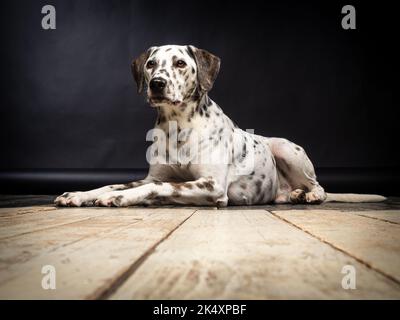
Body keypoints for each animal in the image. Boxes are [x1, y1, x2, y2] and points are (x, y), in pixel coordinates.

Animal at [54, 44, 386, 208]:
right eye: (150, 65)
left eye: (179, 63)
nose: (157, 84)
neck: (178, 127)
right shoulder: (153, 176)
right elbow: (117, 183)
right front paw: (80, 194)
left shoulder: (211, 186)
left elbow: (159, 187)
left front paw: (121, 198)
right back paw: (294, 194)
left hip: (284, 148)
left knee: (319, 186)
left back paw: (311, 195)